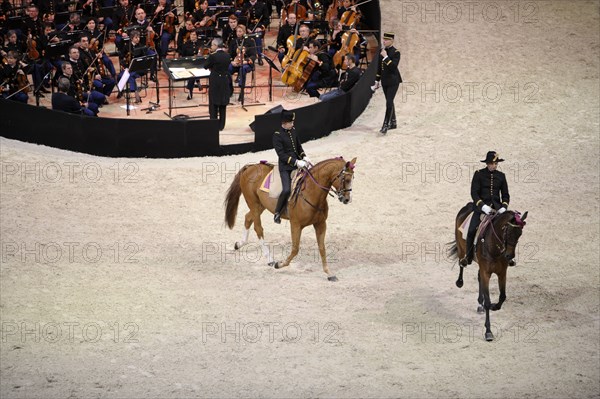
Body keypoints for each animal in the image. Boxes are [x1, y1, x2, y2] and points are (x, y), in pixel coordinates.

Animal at [225, 156, 356, 282]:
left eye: (353, 178)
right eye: (346, 179)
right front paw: (279, 264)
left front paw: (329, 273)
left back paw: (239, 244)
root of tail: (250, 167)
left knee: (248, 218)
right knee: (258, 229)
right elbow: (295, 249)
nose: (347, 199)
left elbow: (322, 248)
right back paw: (270, 259)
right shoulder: (295, 224)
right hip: (254, 205)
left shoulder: (321, 224)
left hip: (260, 206)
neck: (311, 192)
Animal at [448, 205, 528, 342]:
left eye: (520, 234)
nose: (509, 256)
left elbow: (502, 297)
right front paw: (488, 331)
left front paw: (494, 307)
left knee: (478, 277)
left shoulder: (502, 273)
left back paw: (479, 304)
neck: (495, 247)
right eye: (508, 232)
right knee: (461, 262)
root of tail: (467, 206)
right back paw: (460, 281)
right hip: (461, 248)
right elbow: (488, 301)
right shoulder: (486, 273)